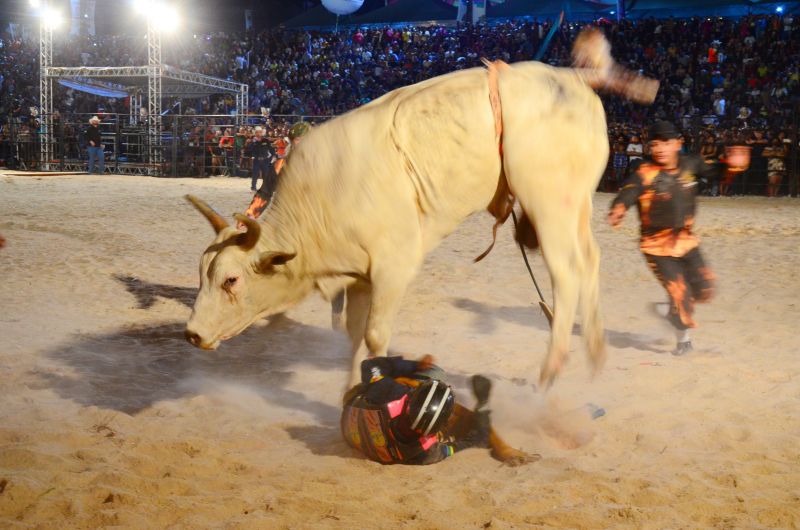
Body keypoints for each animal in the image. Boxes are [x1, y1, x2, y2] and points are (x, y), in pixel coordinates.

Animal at [186, 27, 656, 384]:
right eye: (201, 273)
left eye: (231, 280)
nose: (191, 333)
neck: (321, 201)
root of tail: (571, 76)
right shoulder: (359, 275)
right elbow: (354, 334)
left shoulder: (393, 265)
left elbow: (375, 335)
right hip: (576, 201)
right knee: (590, 261)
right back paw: (594, 350)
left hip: (547, 200)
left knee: (566, 272)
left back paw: (553, 364)